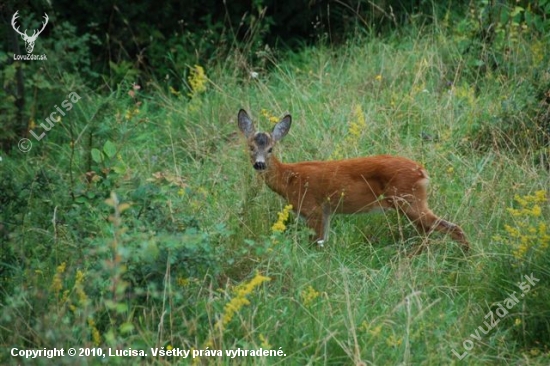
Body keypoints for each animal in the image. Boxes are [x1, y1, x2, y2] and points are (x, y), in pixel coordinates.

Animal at [239, 108, 472, 250]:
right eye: (250, 147)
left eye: (271, 149)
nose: (259, 164)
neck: (288, 179)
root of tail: (422, 171)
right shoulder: (326, 211)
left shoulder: (313, 208)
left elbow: (317, 243)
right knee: (427, 231)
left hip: (409, 199)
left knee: (449, 227)